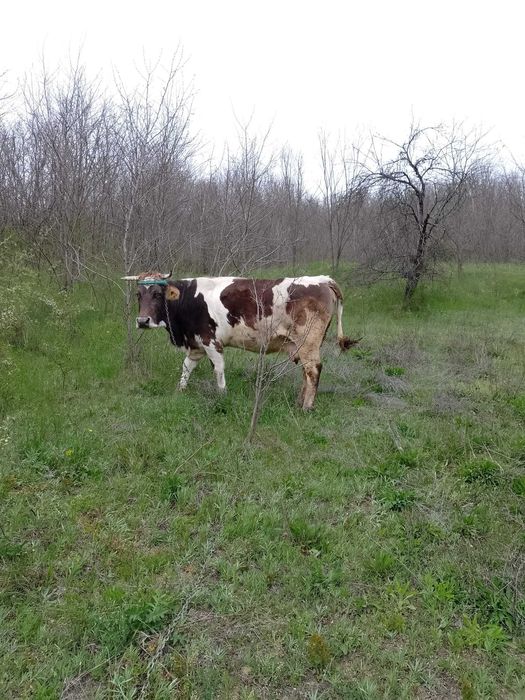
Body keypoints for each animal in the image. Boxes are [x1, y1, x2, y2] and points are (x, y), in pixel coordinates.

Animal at [122, 271, 357, 410]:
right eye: (138, 295)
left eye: (157, 294)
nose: (142, 321)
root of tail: (322, 279)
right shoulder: (196, 344)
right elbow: (187, 367)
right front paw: (180, 391)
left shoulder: (211, 341)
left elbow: (218, 369)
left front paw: (222, 394)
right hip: (302, 345)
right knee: (306, 373)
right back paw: (300, 401)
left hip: (308, 342)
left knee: (313, 370)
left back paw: (306, 407)